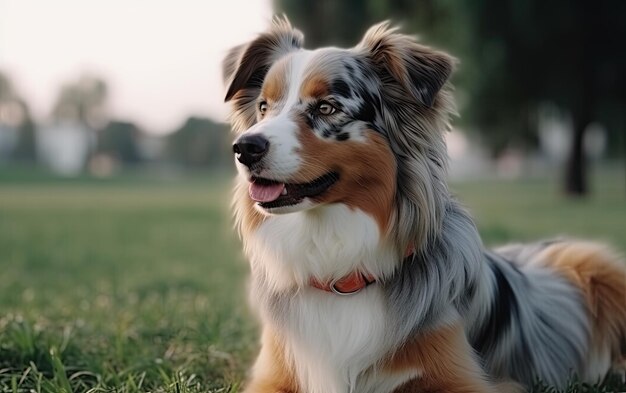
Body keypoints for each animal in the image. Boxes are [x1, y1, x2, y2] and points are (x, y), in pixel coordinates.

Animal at [221, 18, 624, 392]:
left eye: (326, 107)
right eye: (263, 107)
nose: (245, 148)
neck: (342, 272)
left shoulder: (463, 378)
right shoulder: (274, 373)